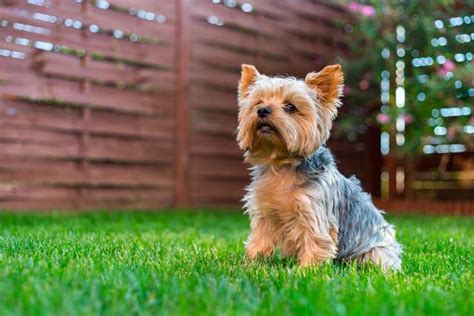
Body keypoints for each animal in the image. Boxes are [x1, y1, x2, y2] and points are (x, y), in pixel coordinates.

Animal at [235, 63, 402, 272]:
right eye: (258, 103)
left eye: (290, 107)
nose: (263, 110)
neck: (283, 165)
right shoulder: (265, 213)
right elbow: (260, 240)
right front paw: (253, 265)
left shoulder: (313, 211)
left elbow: (315, 242)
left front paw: (306, 272)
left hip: (376, 252)